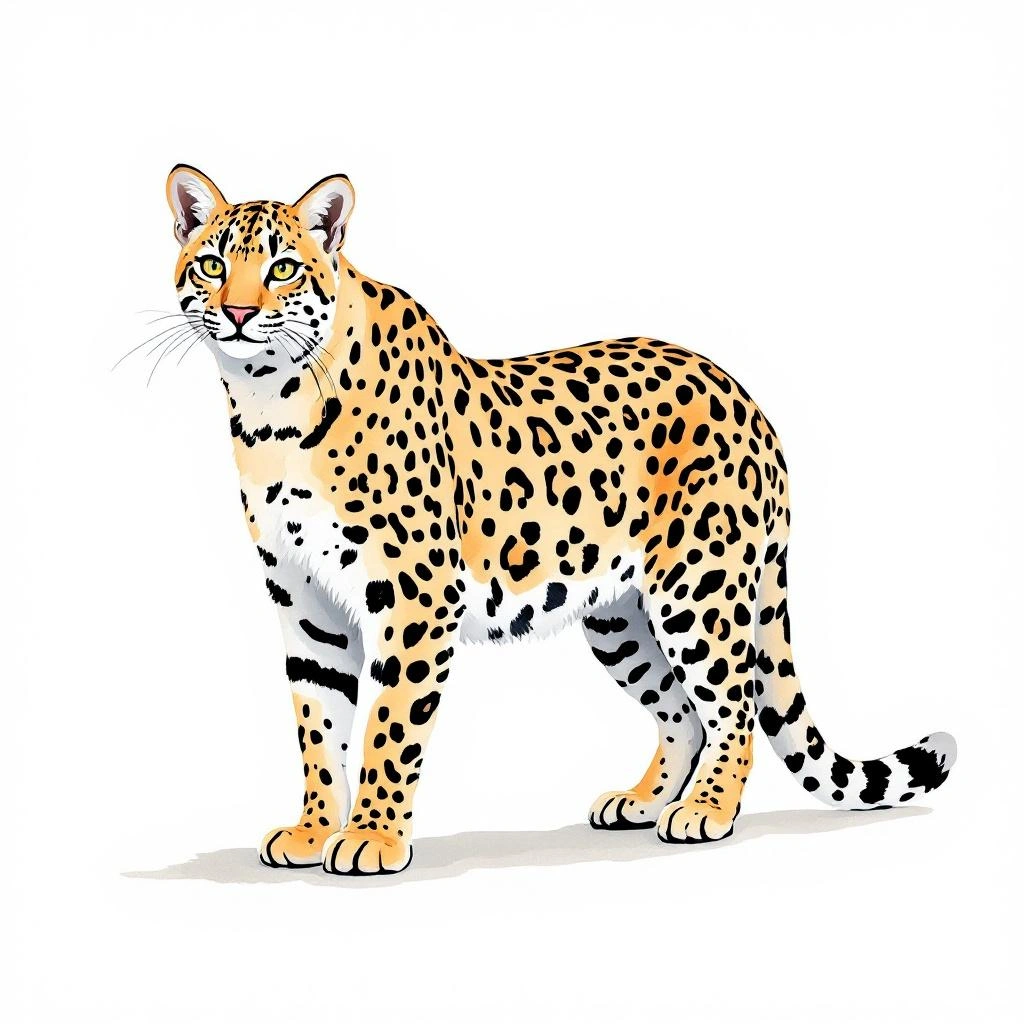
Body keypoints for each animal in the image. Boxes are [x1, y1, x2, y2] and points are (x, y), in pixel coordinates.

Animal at [162, 164, 956, 875]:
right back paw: (645, 801)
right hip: (619, 615)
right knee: (682, 710)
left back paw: (707, 811)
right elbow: (319, 729)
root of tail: (748, 400)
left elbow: (391, 726)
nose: (237, 314)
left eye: (284, 270)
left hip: (700, 588)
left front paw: (373, 839)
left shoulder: (417, 596)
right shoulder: (307, 602)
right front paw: (312, 830)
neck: (270, 405)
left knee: (734, 703)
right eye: (212, 265)